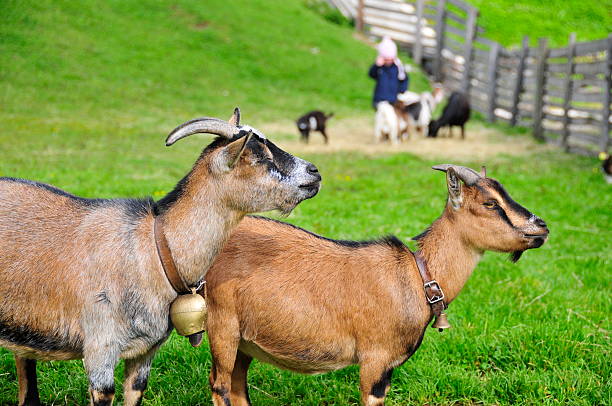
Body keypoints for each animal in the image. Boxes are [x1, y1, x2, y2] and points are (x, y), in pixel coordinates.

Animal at [204, 164, 548, 406]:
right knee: (220, 385)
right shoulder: (376, 361)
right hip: (222, 325)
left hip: (244, 340)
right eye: (490, 203)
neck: (416, 276)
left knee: (237, 387)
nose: (541, 227)